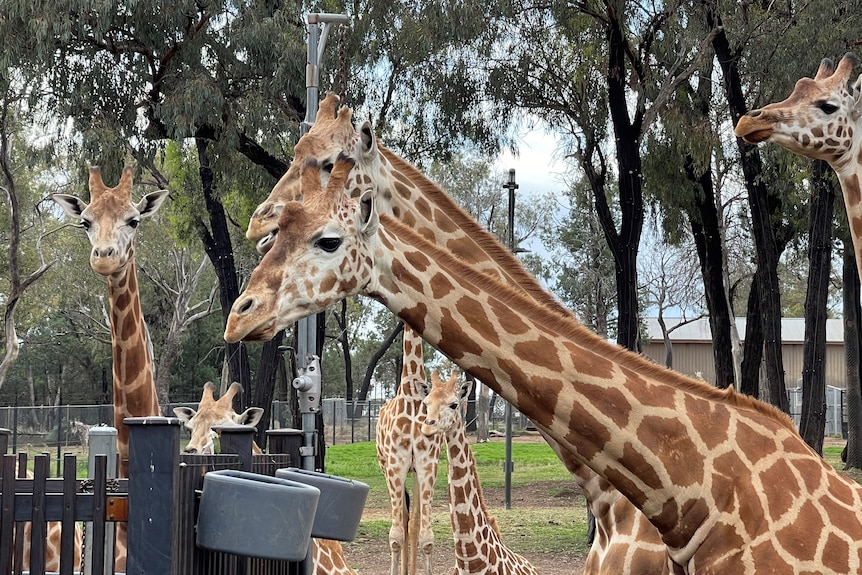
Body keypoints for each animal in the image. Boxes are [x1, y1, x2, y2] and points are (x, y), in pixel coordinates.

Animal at [378, 324, 446, 575]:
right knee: (403, 518)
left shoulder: (427, 464)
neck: (412, 396)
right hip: (386, 467)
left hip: (415, 472)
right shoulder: (396, 464)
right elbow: (396, 535)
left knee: (413, 520)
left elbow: (425, 535)